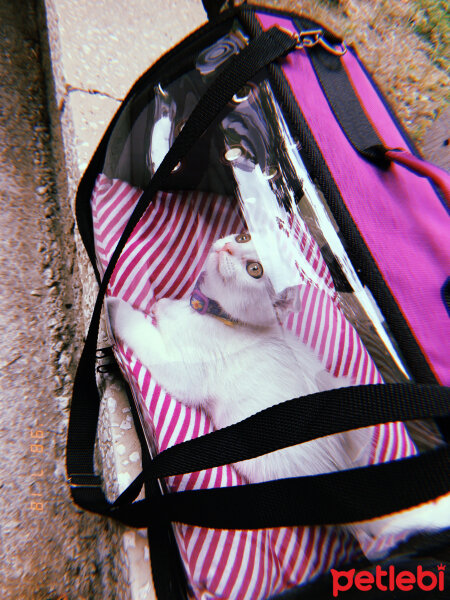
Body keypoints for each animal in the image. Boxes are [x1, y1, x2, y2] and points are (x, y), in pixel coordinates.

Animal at [107, 231, 448, 556]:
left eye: (254, 270)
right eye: (244, 237)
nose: (228, 248)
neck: (213, 313)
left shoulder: (186, 372)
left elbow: (148, 340)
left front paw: (115, 307)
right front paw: (162, 305)